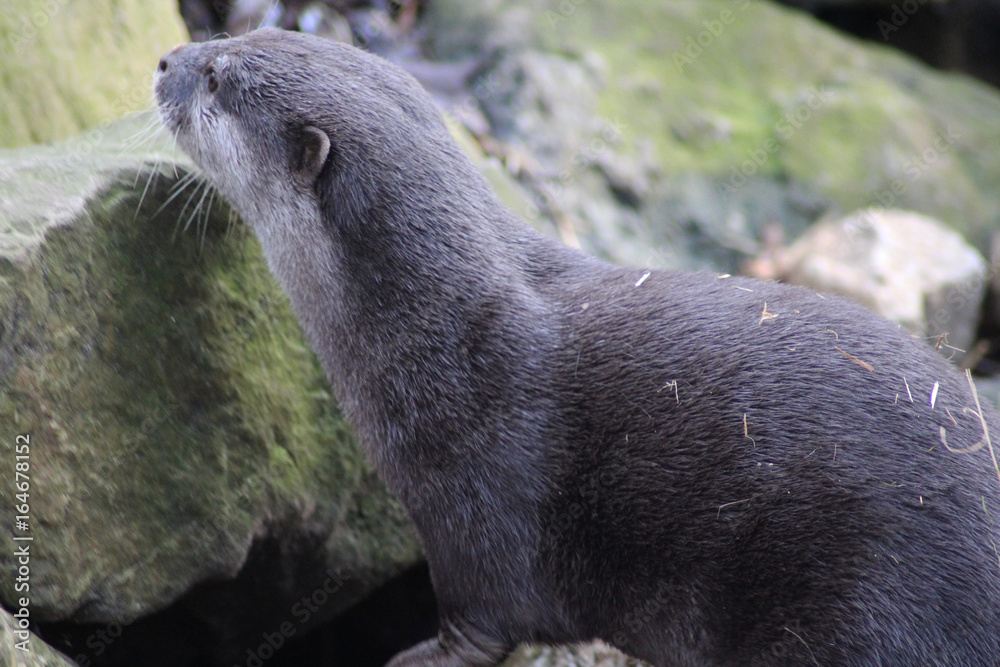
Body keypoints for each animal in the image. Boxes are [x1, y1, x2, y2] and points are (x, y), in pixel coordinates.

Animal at [154, 28, 1000, 666]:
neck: (438, 339)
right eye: (238, 38)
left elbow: (483, 625)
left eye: (218, 79)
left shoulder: (478, 505)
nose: (166, 60)